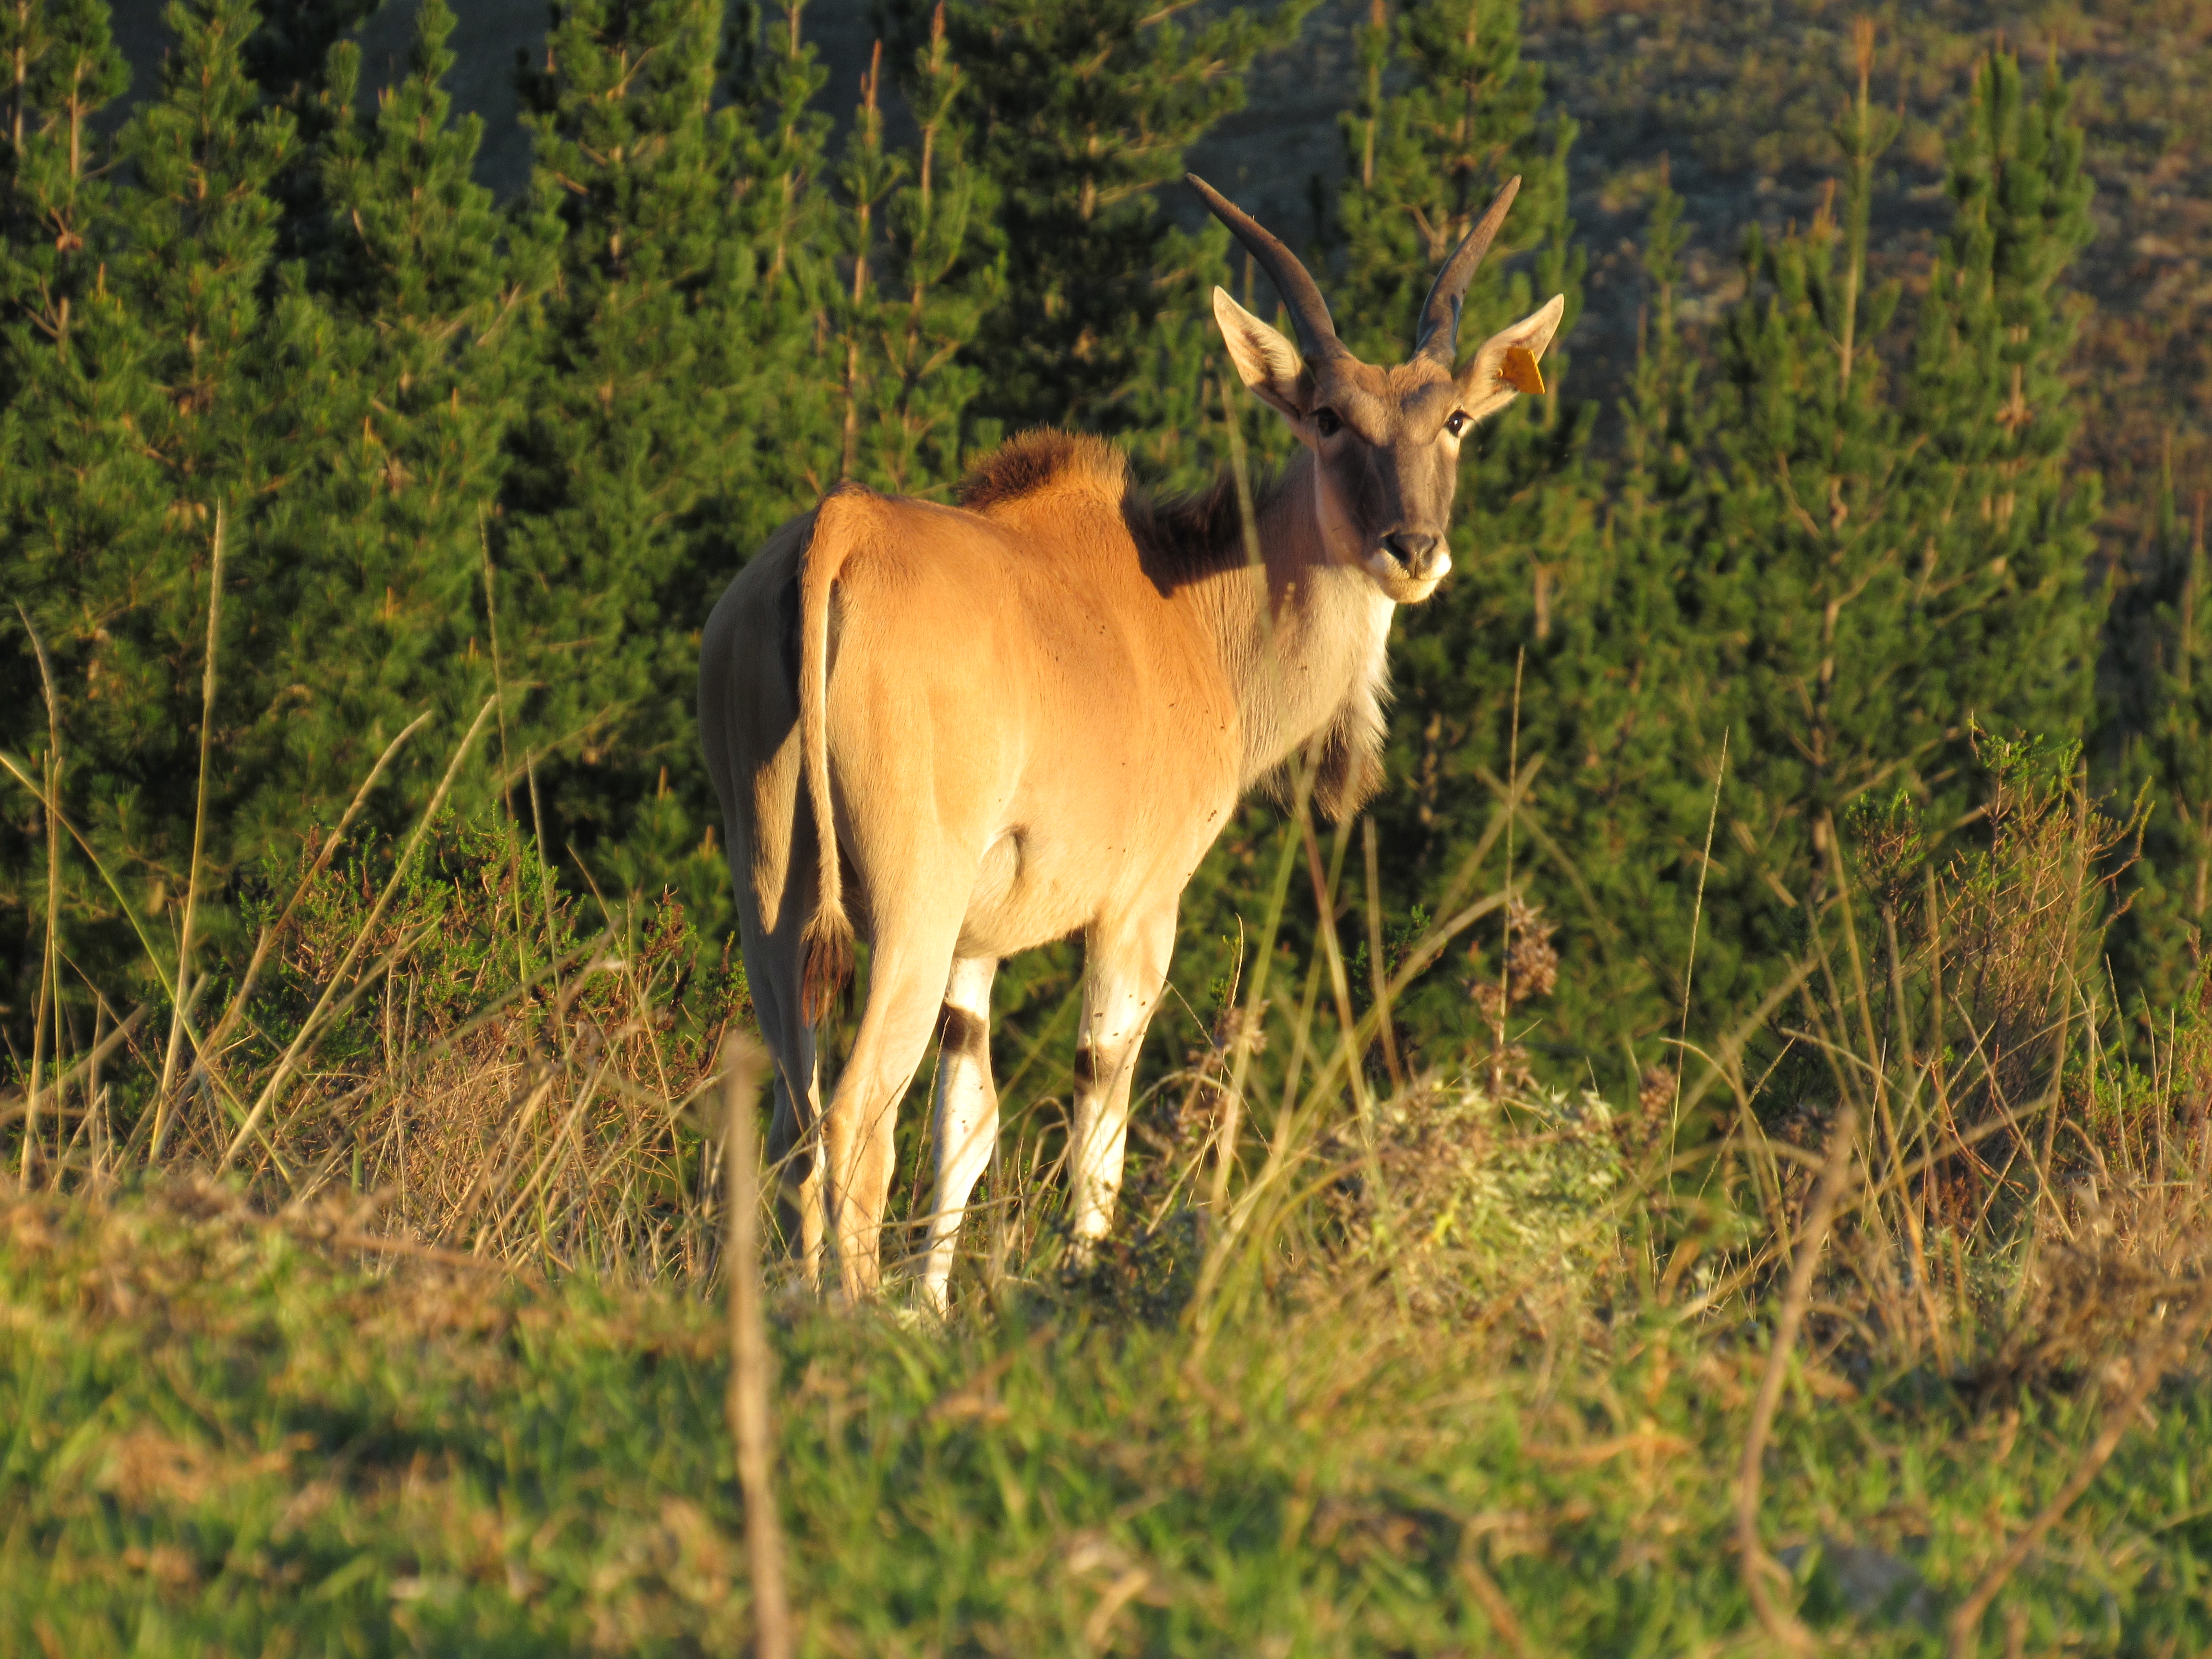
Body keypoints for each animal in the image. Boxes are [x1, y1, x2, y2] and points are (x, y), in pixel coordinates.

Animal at [700, 174, 1564, 1307]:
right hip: (908, 907)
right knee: (852, 1122)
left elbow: (966, 1127)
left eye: (1455, 418)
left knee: (795, 1126)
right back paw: (846, 1314)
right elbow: (1095, 1125)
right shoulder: (1137, 912)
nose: (1411, 548)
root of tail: (834, 533)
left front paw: (931, 1314)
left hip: (773, 895)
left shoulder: (977, 948)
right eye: (1329, 419)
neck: (1192, 607)